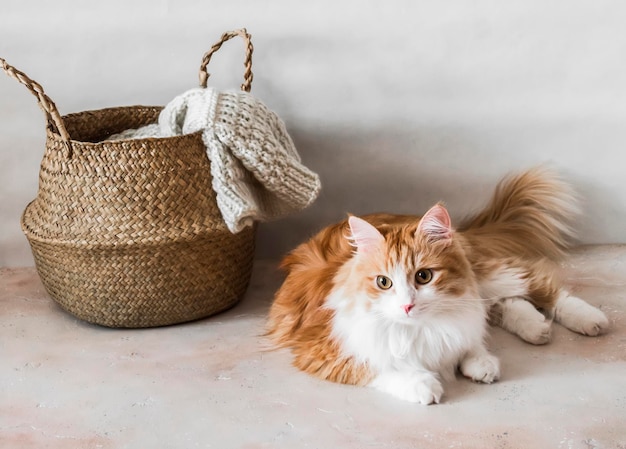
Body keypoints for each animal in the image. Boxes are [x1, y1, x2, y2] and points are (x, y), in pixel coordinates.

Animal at [266, 166, 608, 404]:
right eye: (383, 282)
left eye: (423, 276)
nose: (407, 304)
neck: (421, 327)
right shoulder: (323, 349)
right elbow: (379, 366)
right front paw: (423, 384)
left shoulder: (462, 311)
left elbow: (470, 337)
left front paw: (479, 361)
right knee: (509, 302)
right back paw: (536, 327)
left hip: (486, 274)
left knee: (540, 287)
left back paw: (589, 319)